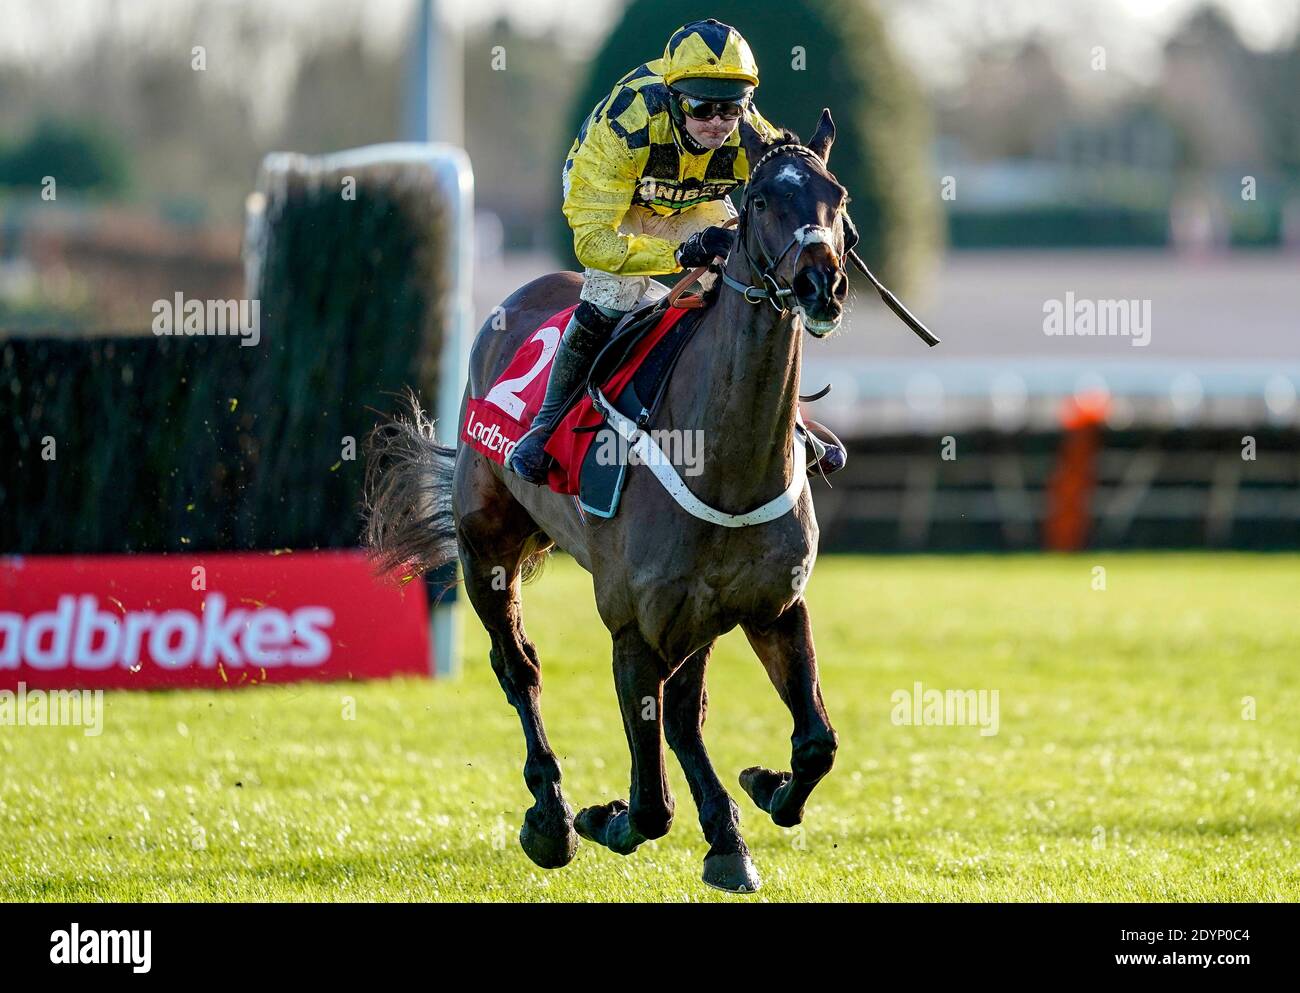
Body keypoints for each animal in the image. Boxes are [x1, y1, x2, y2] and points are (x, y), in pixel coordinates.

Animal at [366, 110, 852, 894]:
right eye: (760, 201)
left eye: (835, 196)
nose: (822, 283)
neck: (725, 460)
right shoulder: (632, 628)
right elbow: (650, 803)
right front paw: (603, 817)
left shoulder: (771, 606)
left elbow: (814, 743)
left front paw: (762, 789)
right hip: (485, 548)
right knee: (520, 669)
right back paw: (551, 817)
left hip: (697, 615)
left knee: (684, 715)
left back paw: (724, 834)